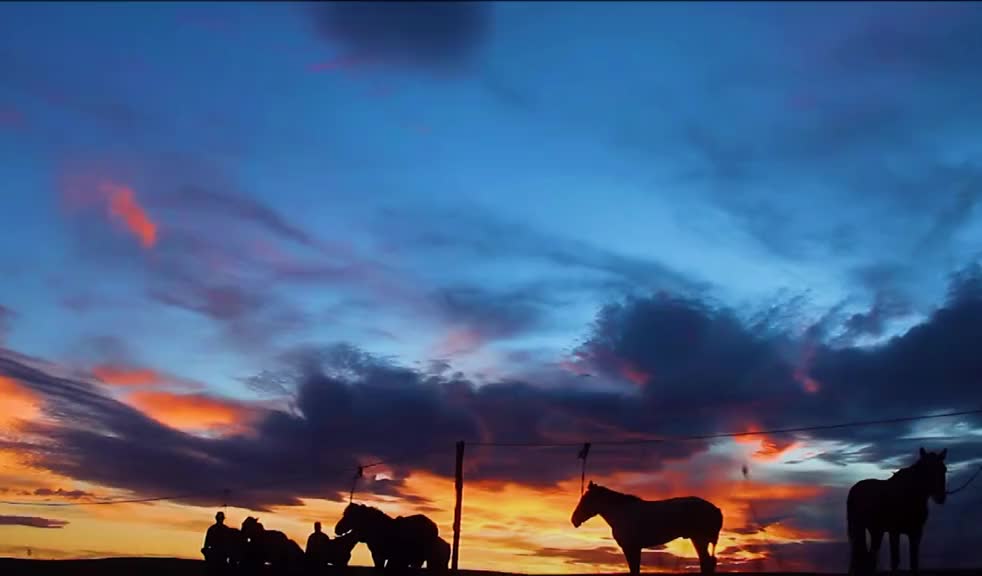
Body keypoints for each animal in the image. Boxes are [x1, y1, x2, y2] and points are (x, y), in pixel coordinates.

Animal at [568, 482, 724, 576]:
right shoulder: (635, 548)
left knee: (706, 562)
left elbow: (634, 569)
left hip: (700, 539)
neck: (621, 512)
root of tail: (716, 509)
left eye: (585, 500)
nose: (574, 520)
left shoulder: (630, 547)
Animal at [848, 446, 948, 576]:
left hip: (876, 531)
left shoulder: (916, 533)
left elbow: (914, 562)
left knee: (870, 558)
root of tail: (855, 488)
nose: (940, 497)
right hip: (859, 528)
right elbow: (895, 561)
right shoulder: (894, 532)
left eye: (944, 470)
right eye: (926, 470)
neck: (909, 495)